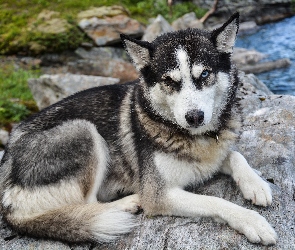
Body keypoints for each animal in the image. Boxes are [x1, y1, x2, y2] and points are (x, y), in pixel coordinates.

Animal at [0, 12, 278, 245]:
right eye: (169, 81)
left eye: (204, 74)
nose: (195, 117)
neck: (196, 137)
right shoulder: (159, 195)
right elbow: (214, 201)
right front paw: (252, 221)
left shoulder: (214, 154)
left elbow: (234, 155)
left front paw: (256, 184)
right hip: (83, 131)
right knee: (88, 204)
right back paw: (127, 203)